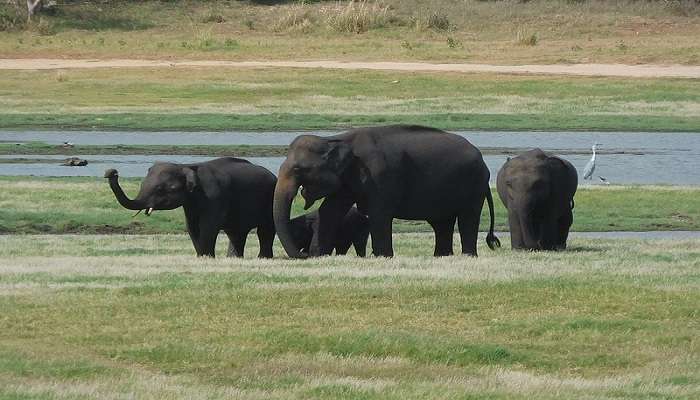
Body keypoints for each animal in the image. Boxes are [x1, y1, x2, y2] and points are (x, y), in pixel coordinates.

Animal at [106, 158, 276, 258]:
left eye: (160, 189)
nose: (112, 173)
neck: (185, 167)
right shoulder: (190, 203)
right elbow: (192, 226)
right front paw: (201, 257)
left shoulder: (215, 196)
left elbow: (208, 225)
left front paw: (206, 257)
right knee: (236, 233)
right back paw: (233, 258)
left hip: (270, 199)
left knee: (265, 230)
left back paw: (263, 258)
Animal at [270, 123, 500, 258]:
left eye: (299, 169)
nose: (304, 254)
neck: (336, 139)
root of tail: (483, 162)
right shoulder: (347, 178)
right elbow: (330, 211)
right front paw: (320, 255)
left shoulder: (380, 175)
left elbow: (379, 214)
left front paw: (383, 257)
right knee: (442, 223)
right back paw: (442, 257)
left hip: (474, 186)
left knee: (467, 219)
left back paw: (468, 256)